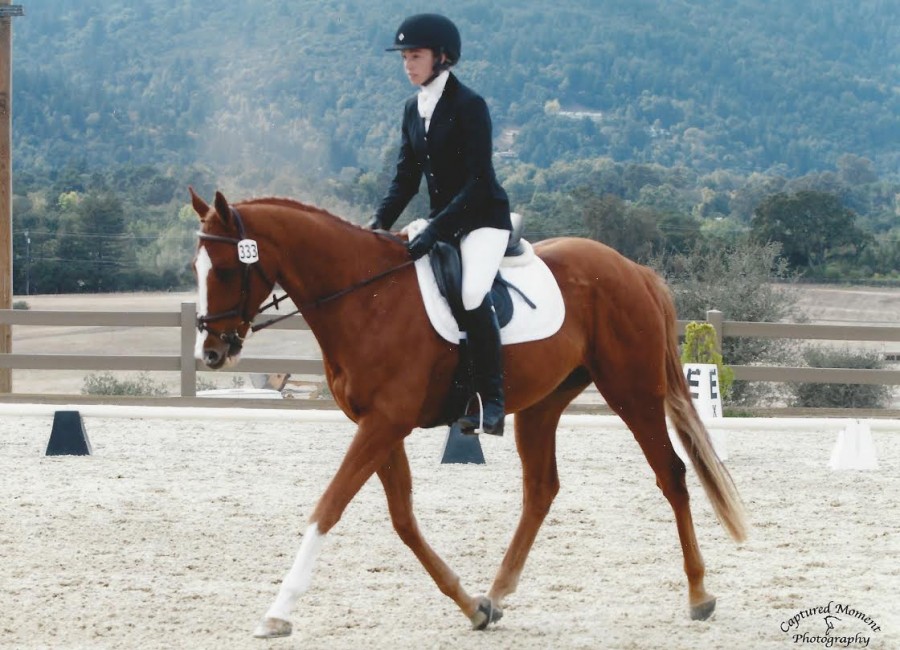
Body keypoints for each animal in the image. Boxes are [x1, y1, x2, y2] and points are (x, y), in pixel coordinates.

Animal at [189, 188, 747, 639]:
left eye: (225, 269)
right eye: (197, 270)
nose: (211, 352)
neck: (366, 296)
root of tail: (633, 269)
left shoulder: (383, 423)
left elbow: (329, 506)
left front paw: (277, 612)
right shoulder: (380, 425)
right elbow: (403, 520)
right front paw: (472, 606)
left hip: (632, 392)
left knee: (671, 474)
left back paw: (699, 594)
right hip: (543, 404)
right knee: (541, 490)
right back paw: (496, 594)